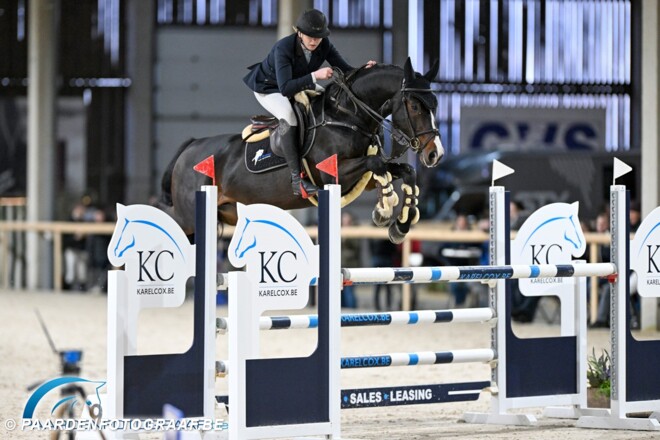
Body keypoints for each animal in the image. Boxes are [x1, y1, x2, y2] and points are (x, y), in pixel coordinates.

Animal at [157, 57, 444, 244]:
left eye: (435, 104)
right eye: (415, 106)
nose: (435, 154)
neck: (347, 116)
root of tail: (190, 147)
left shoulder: (362, 180)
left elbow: (404, 172)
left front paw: (401, 224)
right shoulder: (334, 174)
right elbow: (378, 165)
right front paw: (384, 211)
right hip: (188, 218)